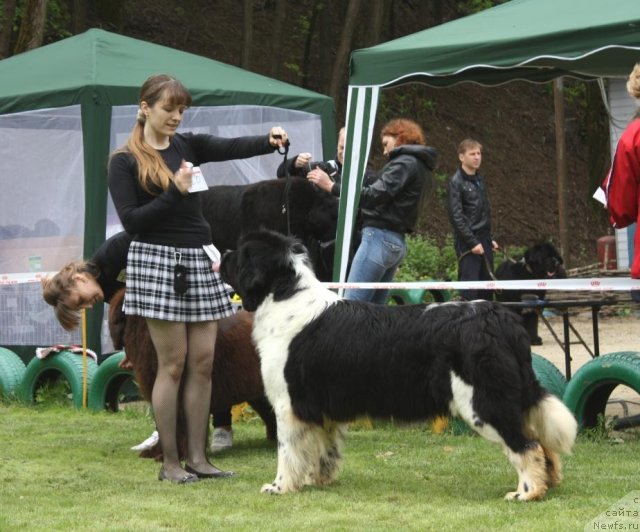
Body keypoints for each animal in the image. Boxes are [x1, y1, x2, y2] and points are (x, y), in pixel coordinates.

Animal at [218, 231, 576, 500]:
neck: (285, 296)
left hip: (482, 402)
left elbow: (288, 450)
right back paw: (550, 482)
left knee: (526, 444)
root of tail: (500, 318)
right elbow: (322, 450)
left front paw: (279, 487)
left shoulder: (288, 404)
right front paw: (316, 481)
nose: (222, 252)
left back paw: (527, 492)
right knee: (541, 441)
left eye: (241, 254)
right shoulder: (320, 408)